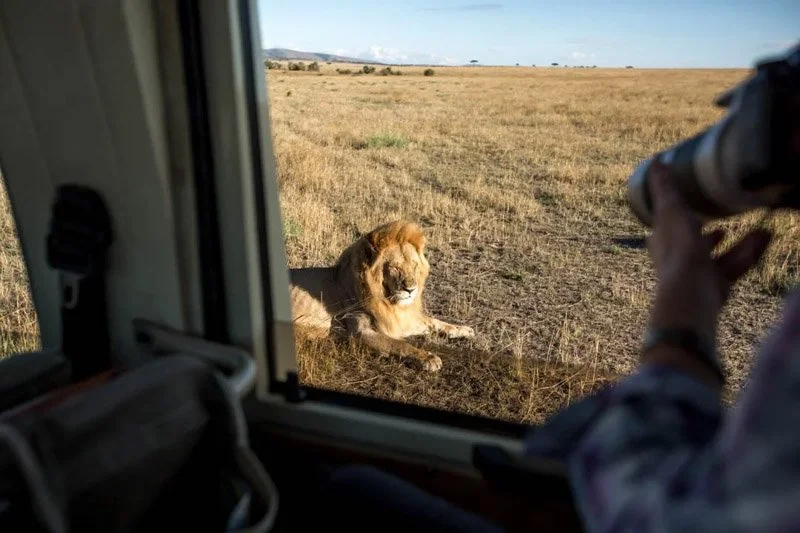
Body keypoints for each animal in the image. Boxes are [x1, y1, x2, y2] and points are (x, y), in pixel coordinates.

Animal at [288, 219, 475, 371]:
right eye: (395, 268)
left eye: (414, 265)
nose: (411, 289)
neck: (389, 301)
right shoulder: (360, 331)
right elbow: (400, 344)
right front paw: (428, 358)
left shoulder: (399, 318)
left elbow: (433, 321)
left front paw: (463, 329)